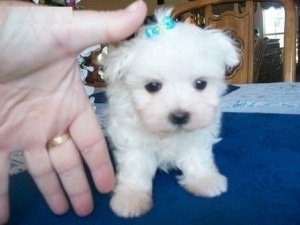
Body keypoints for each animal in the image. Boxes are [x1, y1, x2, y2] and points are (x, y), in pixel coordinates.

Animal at [103, 7, 239, 217]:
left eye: (200, 84)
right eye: (152, 86)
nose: (180, 116)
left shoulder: (196, 134)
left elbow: (197, 155)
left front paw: (203, 179)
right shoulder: (131, 137)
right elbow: (134, 166)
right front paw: (131, 197)